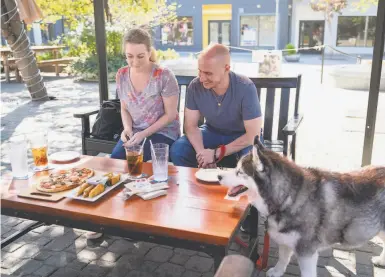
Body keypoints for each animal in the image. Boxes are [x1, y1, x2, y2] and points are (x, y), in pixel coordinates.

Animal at [218, 140, 382, 276]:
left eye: (239, 172)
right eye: (236, 168)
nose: (219, 176)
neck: (288, 197)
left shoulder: (307, 252)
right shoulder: (285, 240)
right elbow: (283, 258)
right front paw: (277, 271)